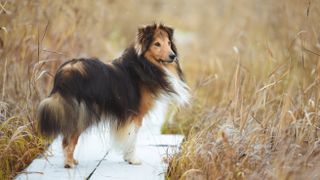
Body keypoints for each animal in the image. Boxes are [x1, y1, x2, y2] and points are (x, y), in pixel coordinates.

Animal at [38, 23, 191, 168]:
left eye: (169, 43)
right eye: (157, 44)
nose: (172, 56)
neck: (143, 64)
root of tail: (65, 73)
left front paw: (128, 158)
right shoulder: (136, 115)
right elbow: (132, 138)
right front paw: (132, 159)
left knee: (66, 138)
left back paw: (72, 160)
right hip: (83, 113)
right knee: (70, 140)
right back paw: (69, 163)